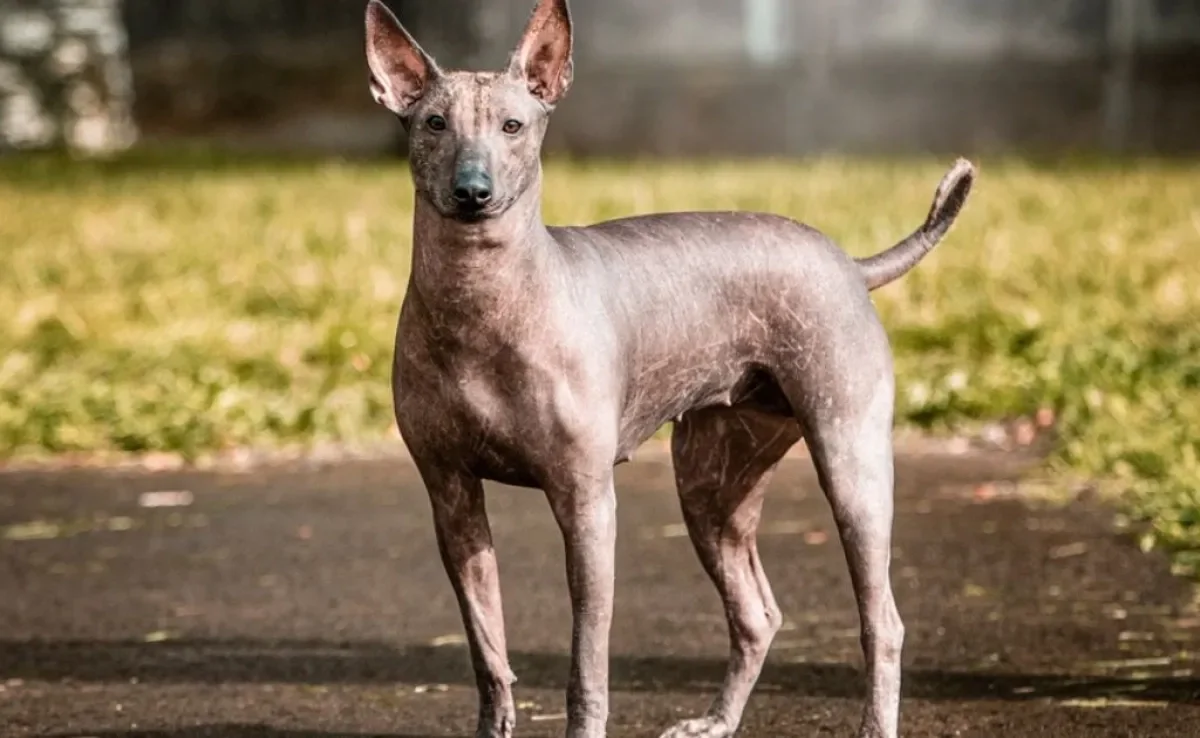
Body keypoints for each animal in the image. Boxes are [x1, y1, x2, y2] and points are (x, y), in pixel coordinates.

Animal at [364, 2, 974, 734]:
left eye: (513, 126)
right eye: (435, 124)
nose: (472, 191)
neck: (480, 298)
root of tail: (850, 264)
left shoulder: (587, 504)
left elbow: (586, 663)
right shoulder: (451, 499)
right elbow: (489, 653)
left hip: (851, 465)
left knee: (882, 621)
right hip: (711, 486)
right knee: (757, 614)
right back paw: (717, 721)